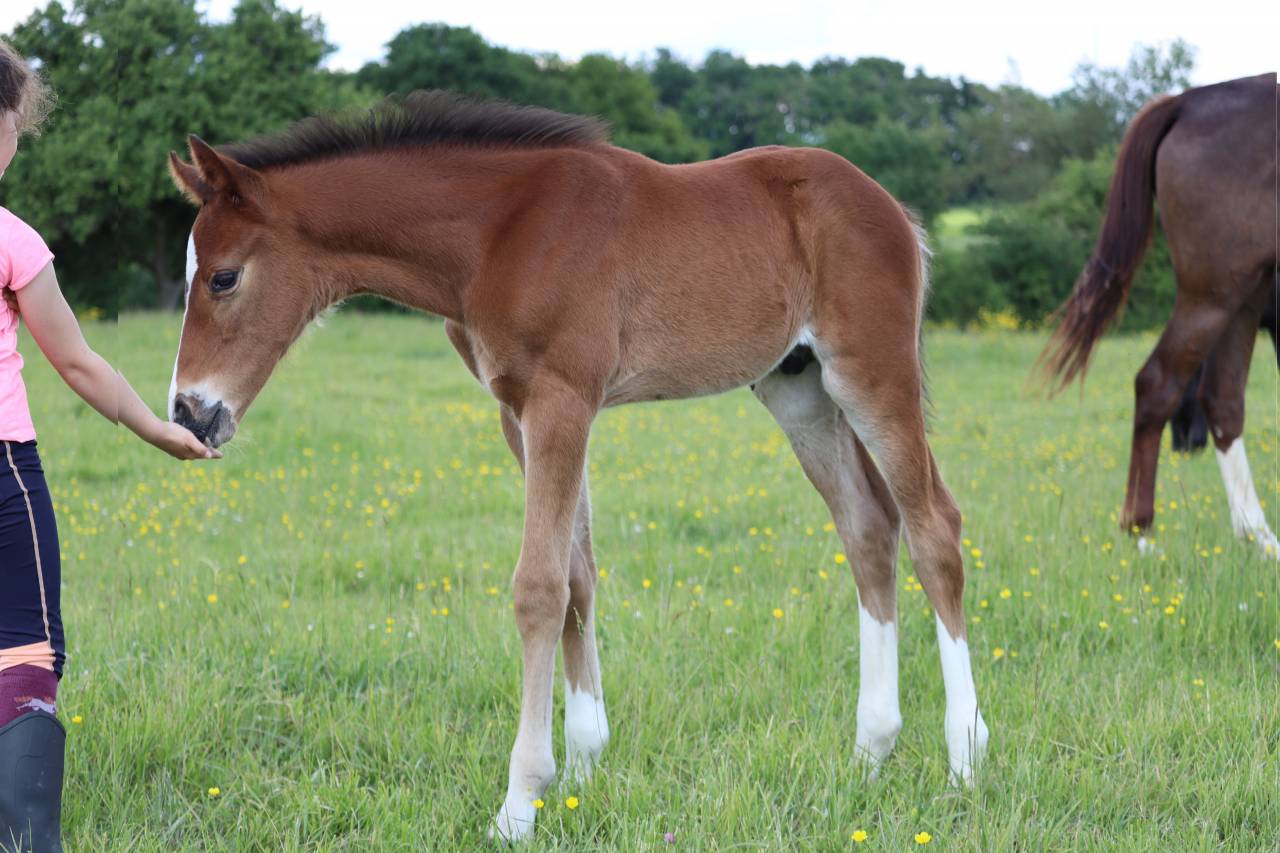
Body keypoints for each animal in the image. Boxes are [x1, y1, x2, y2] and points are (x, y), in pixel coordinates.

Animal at [165, 91, 988, 841]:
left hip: (871, 372)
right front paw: (586, 763)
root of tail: (892, 207)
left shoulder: (562, 399)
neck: (497, 234)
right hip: (799, 386)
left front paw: (519, 801)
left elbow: (539, 586)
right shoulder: (519, 411)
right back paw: (871, 752)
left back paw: (965, 758)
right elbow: (578, 574)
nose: (189, 412)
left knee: (933, 529)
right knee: (868, 526)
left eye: (224, 277)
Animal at [1042, 73, 1278, 558]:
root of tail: (1187, 102)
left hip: (1244, 291)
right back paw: (1142, 532)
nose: (1185, 445)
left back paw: (1260, 540)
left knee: (1223, 397)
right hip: (1215, 290)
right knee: (1158, 382)